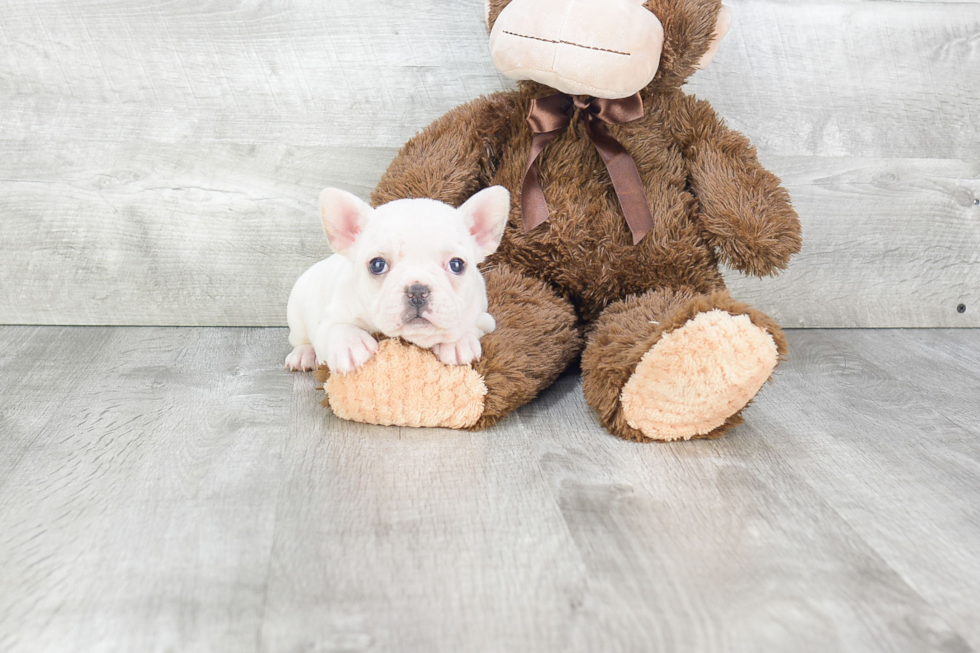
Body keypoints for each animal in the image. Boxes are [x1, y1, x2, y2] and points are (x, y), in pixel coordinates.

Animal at [284, 186, 510, 374]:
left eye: (456, 265)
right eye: (377, 265)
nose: (417, 291)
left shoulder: (483, 317)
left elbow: (468, 325)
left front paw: (457, 342)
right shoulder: (331, 314)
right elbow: (335, 327)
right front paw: (350, 344)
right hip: (295, 315)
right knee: (300, 339)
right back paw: (303, 355)